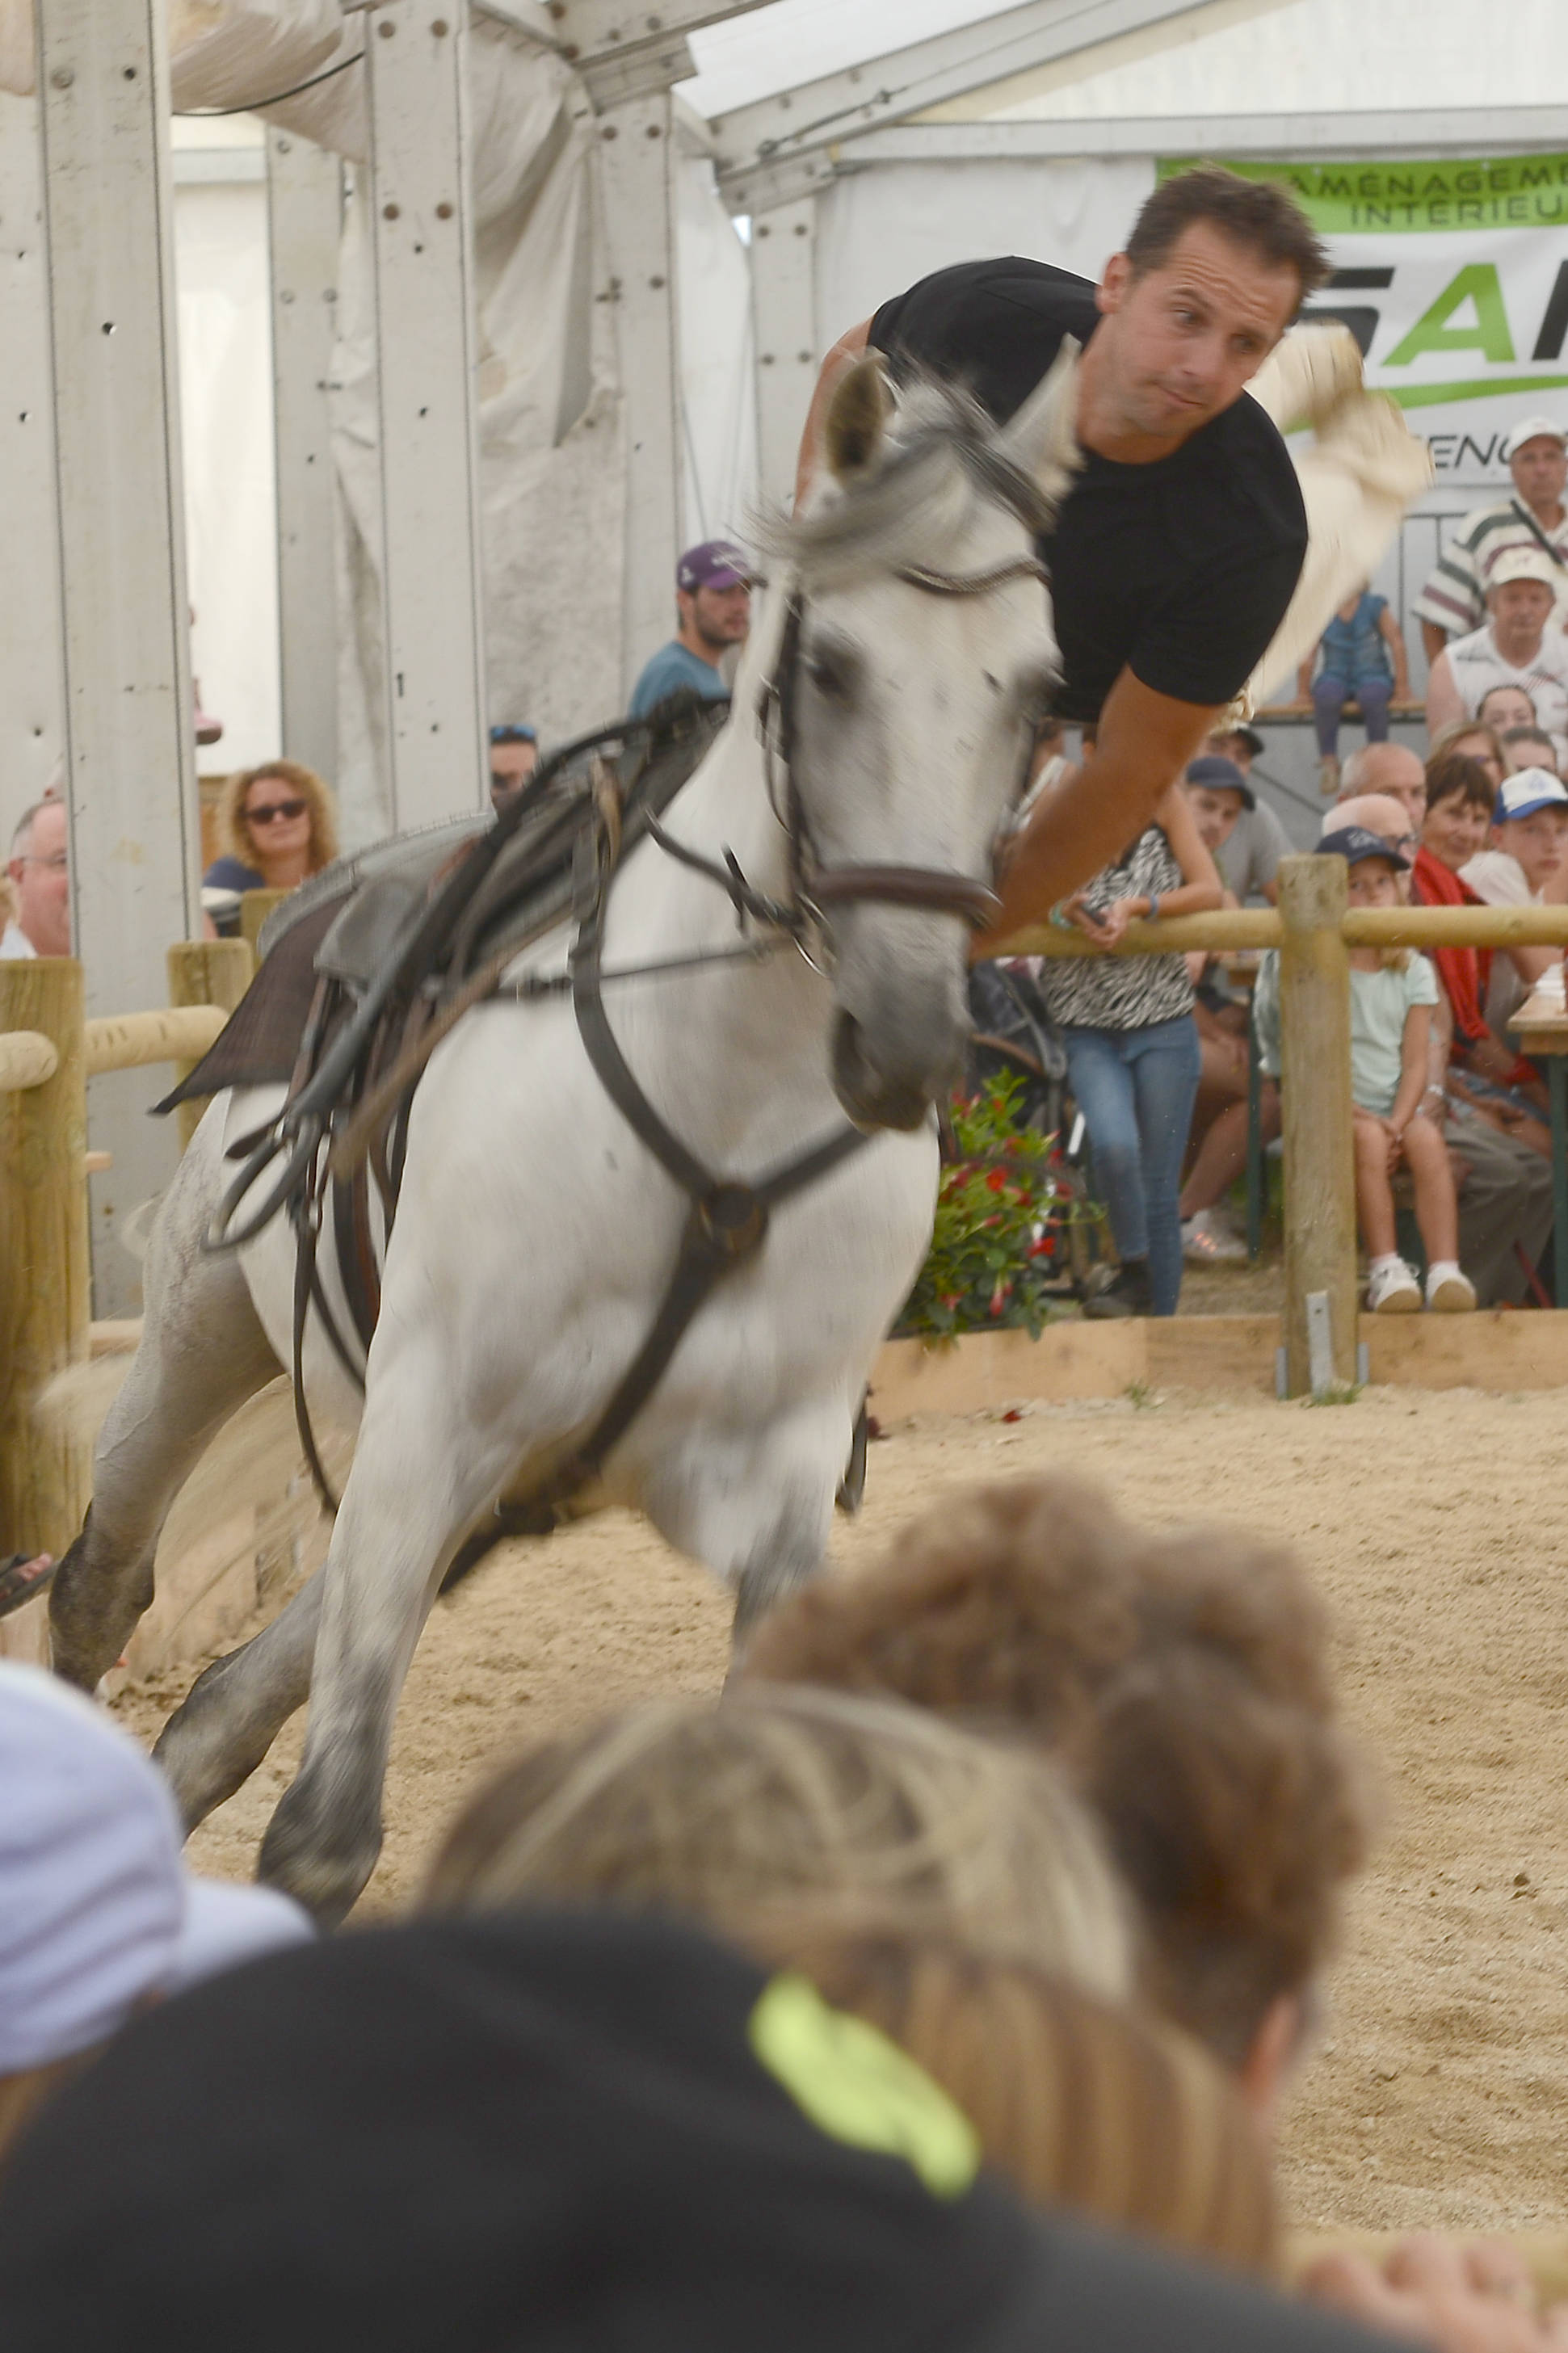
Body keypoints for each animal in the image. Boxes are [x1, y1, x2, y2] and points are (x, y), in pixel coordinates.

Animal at [48, 352, 1073, 1929]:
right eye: (831, 665)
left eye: (1037, 688)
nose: (900, 1037)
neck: (718, 1106)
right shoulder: (428, 1418)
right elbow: (325, 1836)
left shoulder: (766, 1481)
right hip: (205, 1334)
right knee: (103, 1586)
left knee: (228, 1695)